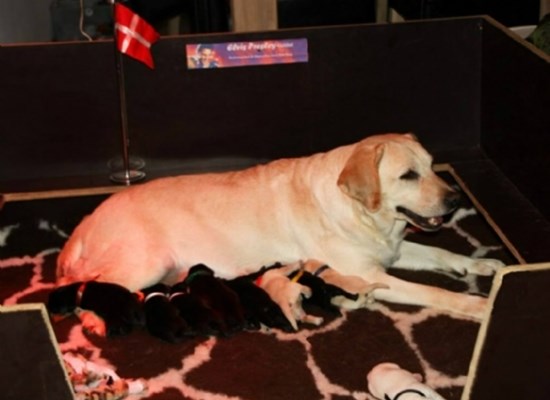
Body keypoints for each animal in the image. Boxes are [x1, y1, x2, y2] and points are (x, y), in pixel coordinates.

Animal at [58, 134, 506, 318]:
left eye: (431, 166)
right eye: (408, 176)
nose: (456, 200)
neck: (362, 213)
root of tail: (87, 220)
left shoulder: (393, 250)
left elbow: (441, 252)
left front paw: (480, 266)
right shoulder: (370, 274)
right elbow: (434, 292)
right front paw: (478, 305)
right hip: (146, 262)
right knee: (80, 285)